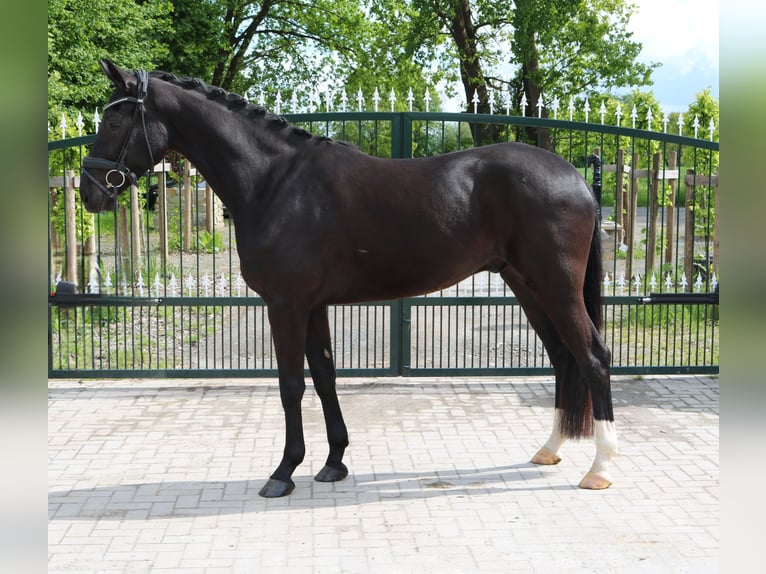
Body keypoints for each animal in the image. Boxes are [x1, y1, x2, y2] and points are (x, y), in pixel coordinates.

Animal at [80, 60, 618, 498]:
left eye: (113, 119)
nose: (89, 191)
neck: (275, 182)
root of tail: (575, 177)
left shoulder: (286, 305)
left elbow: (291, 384)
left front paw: (283, 472)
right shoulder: (313, 306)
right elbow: (324, 378)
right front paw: (333, 462)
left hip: (555, 287)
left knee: (593, 357)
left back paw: (600, 468)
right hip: (526, 285)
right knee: (563, 358)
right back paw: (550, 449)